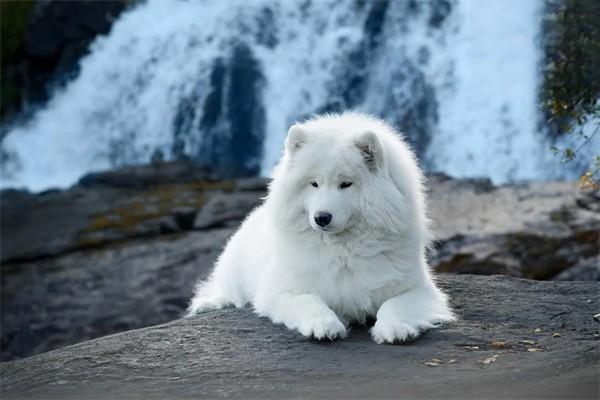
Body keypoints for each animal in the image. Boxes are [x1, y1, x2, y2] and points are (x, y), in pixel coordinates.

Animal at [185, 111, 452, 342]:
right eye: (313, 184)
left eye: (346, 184)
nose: (321, 218)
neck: (342, 249)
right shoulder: (280, 291)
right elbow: (310, 301)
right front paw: (325, 325)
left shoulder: (417, 289)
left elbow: (393, 304)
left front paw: (395, 327)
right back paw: (210, 304)